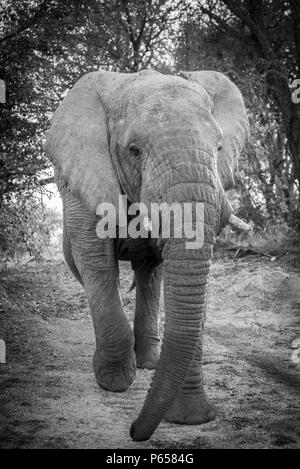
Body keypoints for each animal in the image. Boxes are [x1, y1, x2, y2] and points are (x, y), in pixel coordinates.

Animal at [44, 67, 250, 440]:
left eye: (219, 147)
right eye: (134, 150)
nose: (134, 430)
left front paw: (191, 418)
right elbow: (97, 263)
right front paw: (113, 382)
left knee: (150, 271)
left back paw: (149, 362)